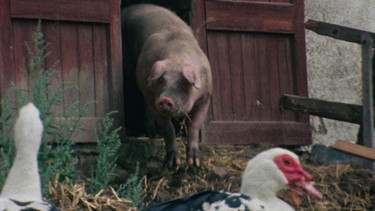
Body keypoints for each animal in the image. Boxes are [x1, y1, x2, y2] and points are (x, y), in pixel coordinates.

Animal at [122, 3, 213, 166]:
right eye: (162, 81)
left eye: (183, 83)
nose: (165, 99)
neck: (177, 57)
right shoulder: (152, 98)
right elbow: (167, 127)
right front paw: (173, 163)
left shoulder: (205, 97)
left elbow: (194, 125)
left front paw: (194, 164)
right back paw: (152, 135)